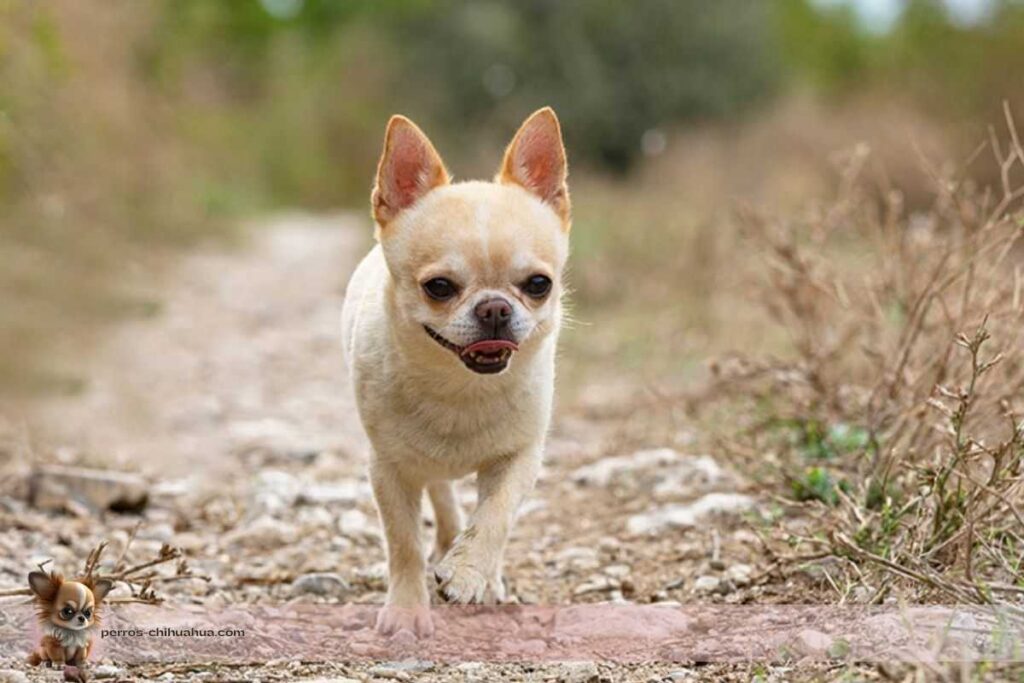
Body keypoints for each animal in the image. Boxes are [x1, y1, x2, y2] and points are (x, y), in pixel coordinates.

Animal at [342, 107, 569, 634]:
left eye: (539, 284)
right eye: (439, 287)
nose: (494, 308)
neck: (460, 387)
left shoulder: (519, 458)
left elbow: (496, 517)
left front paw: (470, 573)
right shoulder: (389, 469)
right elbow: (404, 544)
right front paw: (408, 610)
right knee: (441, 494)